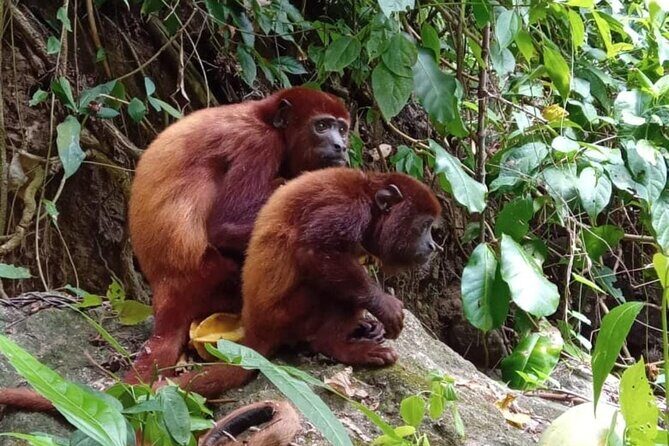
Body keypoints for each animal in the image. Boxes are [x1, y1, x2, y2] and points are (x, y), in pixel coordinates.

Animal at [0, 167, 440, 410]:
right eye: (424, 226)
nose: (434, 246)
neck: (368, 194)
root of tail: (256, 331)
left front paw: (374, 317)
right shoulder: (346, 208)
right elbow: (316, 251)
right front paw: (384, 306)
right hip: (293, 313)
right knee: (325, 279)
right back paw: (339, 345)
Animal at [126, 87, 350, 383]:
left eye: (342, 129)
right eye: (322, 126)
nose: (341, 145)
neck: (266, 118)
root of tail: (166, 292)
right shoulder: (259, 144)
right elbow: (224, 226)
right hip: (212, 276)